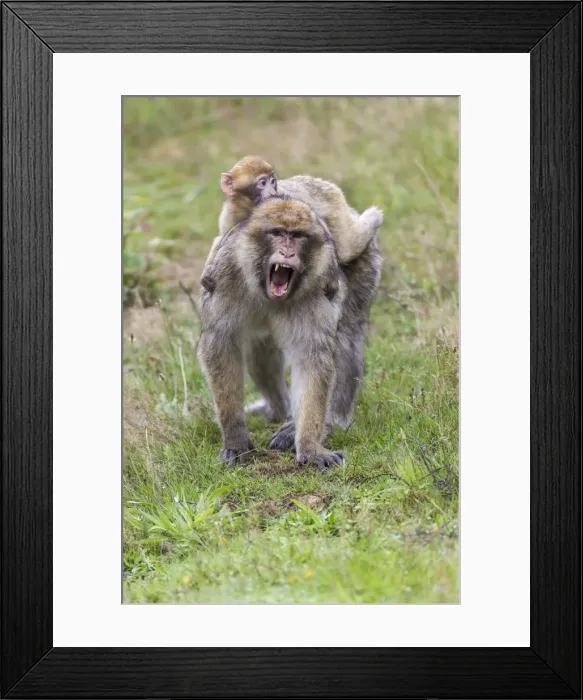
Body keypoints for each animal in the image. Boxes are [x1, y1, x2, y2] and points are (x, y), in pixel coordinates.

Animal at [197, 196, 382, 471]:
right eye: (277, 233)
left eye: (297, 236)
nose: (287, 253)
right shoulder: (224, 276)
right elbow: (221, 346)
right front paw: (235, 439)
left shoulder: (318, 288)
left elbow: (312, 358)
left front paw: (310, 447)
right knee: (260, 352)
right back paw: (279, 409)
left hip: (363, 263)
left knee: (344, 339)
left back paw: (328, 422)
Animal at [199, 155, 383, 293]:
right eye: (262, 183)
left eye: (272, 181)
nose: (272, 190)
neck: (250, 208)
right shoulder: (229, 215)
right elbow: (222, 239)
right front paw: (207, 272)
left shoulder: (288, 202)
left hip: (332, 197)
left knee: (346, 249)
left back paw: (373, 218)